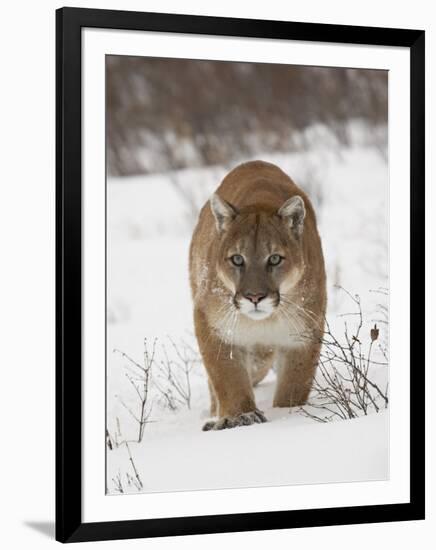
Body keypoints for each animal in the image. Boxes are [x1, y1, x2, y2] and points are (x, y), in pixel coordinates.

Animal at [189, 161, 326, 432]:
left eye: (274, 259)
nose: (254, 297)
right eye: (237, 259)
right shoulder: (211, 322)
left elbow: (294, 384)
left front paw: (289, 413)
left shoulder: (304, 333)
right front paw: (239, 416)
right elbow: (226, 376)